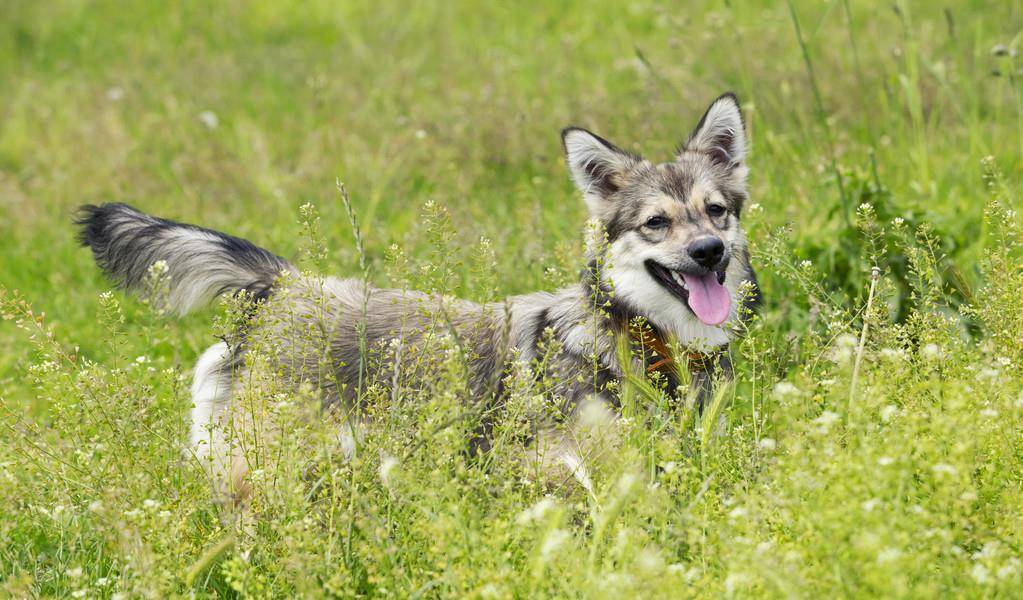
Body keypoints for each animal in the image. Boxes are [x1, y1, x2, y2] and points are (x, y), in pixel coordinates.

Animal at [75, 92, 757, 496]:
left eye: (715, 211)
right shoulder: (555, 473)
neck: (643, 337)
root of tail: (286, 284)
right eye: (656, 223)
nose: (708, 252)